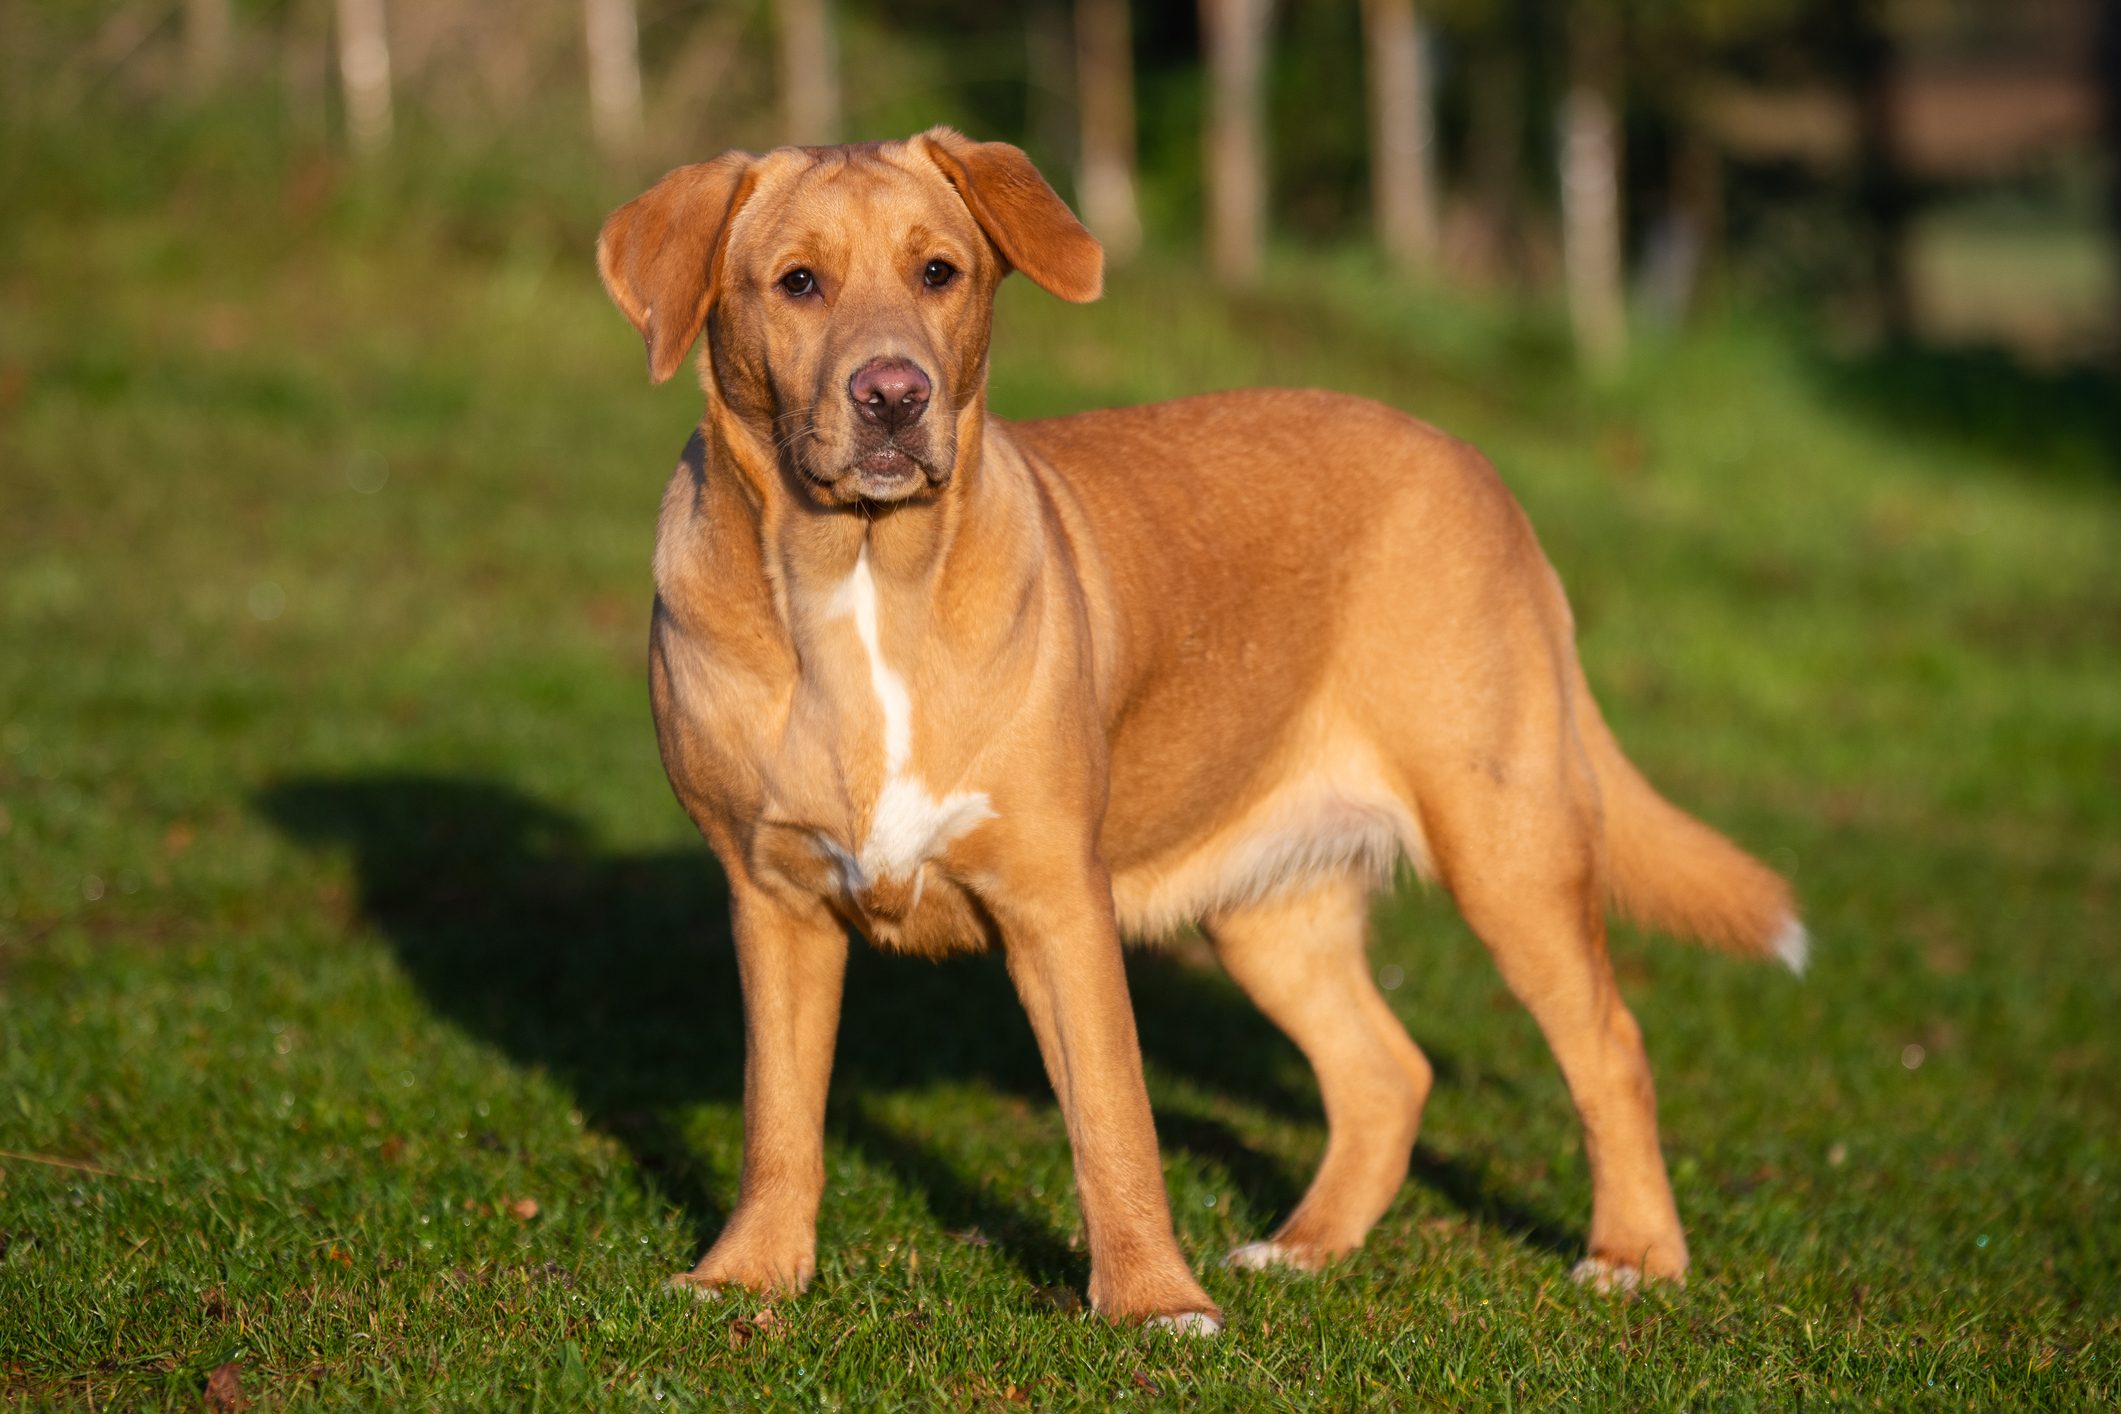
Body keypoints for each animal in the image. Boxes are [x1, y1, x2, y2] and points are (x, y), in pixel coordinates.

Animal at [598, 127, 1807, 1331]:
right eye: (796, 282)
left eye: (938, 270)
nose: (894, 393)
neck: (862, 580)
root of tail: (1468, 462)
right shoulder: (774, 899)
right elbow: (777, 1113)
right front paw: (748, 1275)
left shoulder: (1058, 901)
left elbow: (1112, 1120)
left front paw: (1148, 1301)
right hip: (1269, 907)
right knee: (1385, 1071)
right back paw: (1306, 1246)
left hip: (1507, 843)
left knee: (1609, 1046)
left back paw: (1633, 1252)